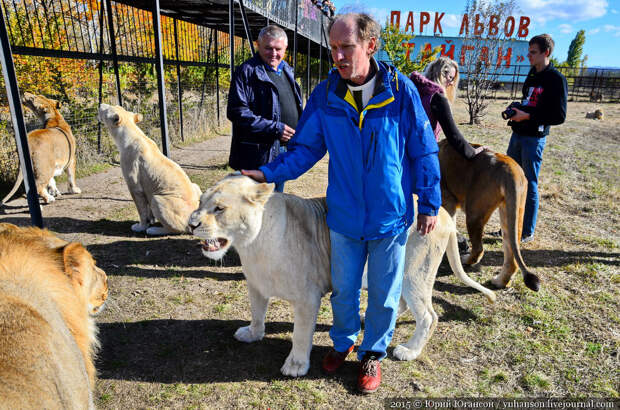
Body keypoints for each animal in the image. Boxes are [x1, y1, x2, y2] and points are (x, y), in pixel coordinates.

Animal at [98, 103, 202, 234]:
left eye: (107, 109)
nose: (101, 105)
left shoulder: (135, 185)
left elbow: (141, 210)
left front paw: (141, 226)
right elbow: (147, 210)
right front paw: (150, 220)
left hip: (157, 199)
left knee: (179, 228)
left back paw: (154, 230)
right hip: (195, 185)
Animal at [186, 175, 492, 376]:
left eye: (219, 208)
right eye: (200, 202)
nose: (191, 224)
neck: (253, 245)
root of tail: (444, 214)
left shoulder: (308, 297)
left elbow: (300, 334)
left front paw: (296, 365)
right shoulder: (257, 285)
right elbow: (257, 313)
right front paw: (252, 334)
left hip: (415, 274)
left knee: (428, 316)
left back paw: (409, 350)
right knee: (400, 303)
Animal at [438, 141, 540, 292]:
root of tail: (511, 170)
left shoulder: (448, 199)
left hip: (474, 213)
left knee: (479, 249)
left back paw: (466, 260)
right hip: (511, 214)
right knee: (512, 258)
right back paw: (499, 282)